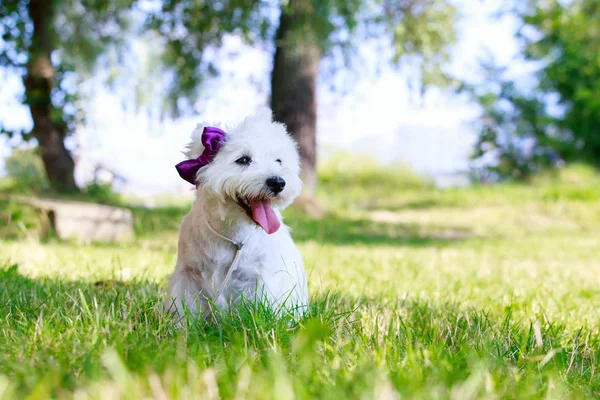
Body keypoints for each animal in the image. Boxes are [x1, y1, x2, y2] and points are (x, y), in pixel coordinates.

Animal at [166, 108, 312, 318]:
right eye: (243, 160)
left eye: (278, 160)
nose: (277, 182)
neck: (232, 231)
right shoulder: (188, 273)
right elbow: (183, 309)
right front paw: (179, 324)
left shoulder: (258, 278)